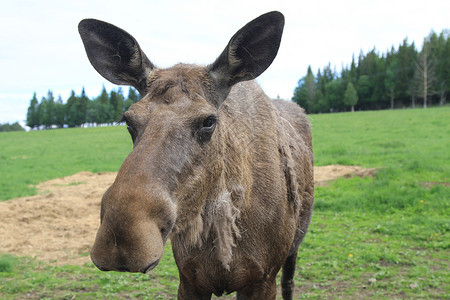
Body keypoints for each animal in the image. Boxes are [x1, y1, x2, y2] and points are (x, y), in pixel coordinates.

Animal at [79, 11, 312, 300]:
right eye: (128, 120)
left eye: (209, 121)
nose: (121, 239)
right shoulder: (189, 277)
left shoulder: (262, 277)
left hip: (294, 245)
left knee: (289, 282)